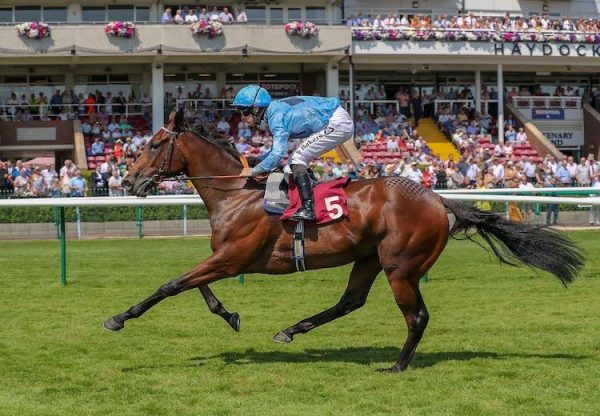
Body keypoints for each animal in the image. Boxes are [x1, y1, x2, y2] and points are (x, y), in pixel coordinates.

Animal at [105, 109, 584, 370]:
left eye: (153, 144)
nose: (128, 181)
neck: (236, 194)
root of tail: (437, 197)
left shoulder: (232, 258)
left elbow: (171, 285)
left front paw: (119, 317)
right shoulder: (224, 258)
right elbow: (195, 288)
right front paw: (231, 315)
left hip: (401, 267)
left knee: (416, 317)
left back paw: (396, 366)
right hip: (368, 257)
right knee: (350, 301)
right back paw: (290, 330)